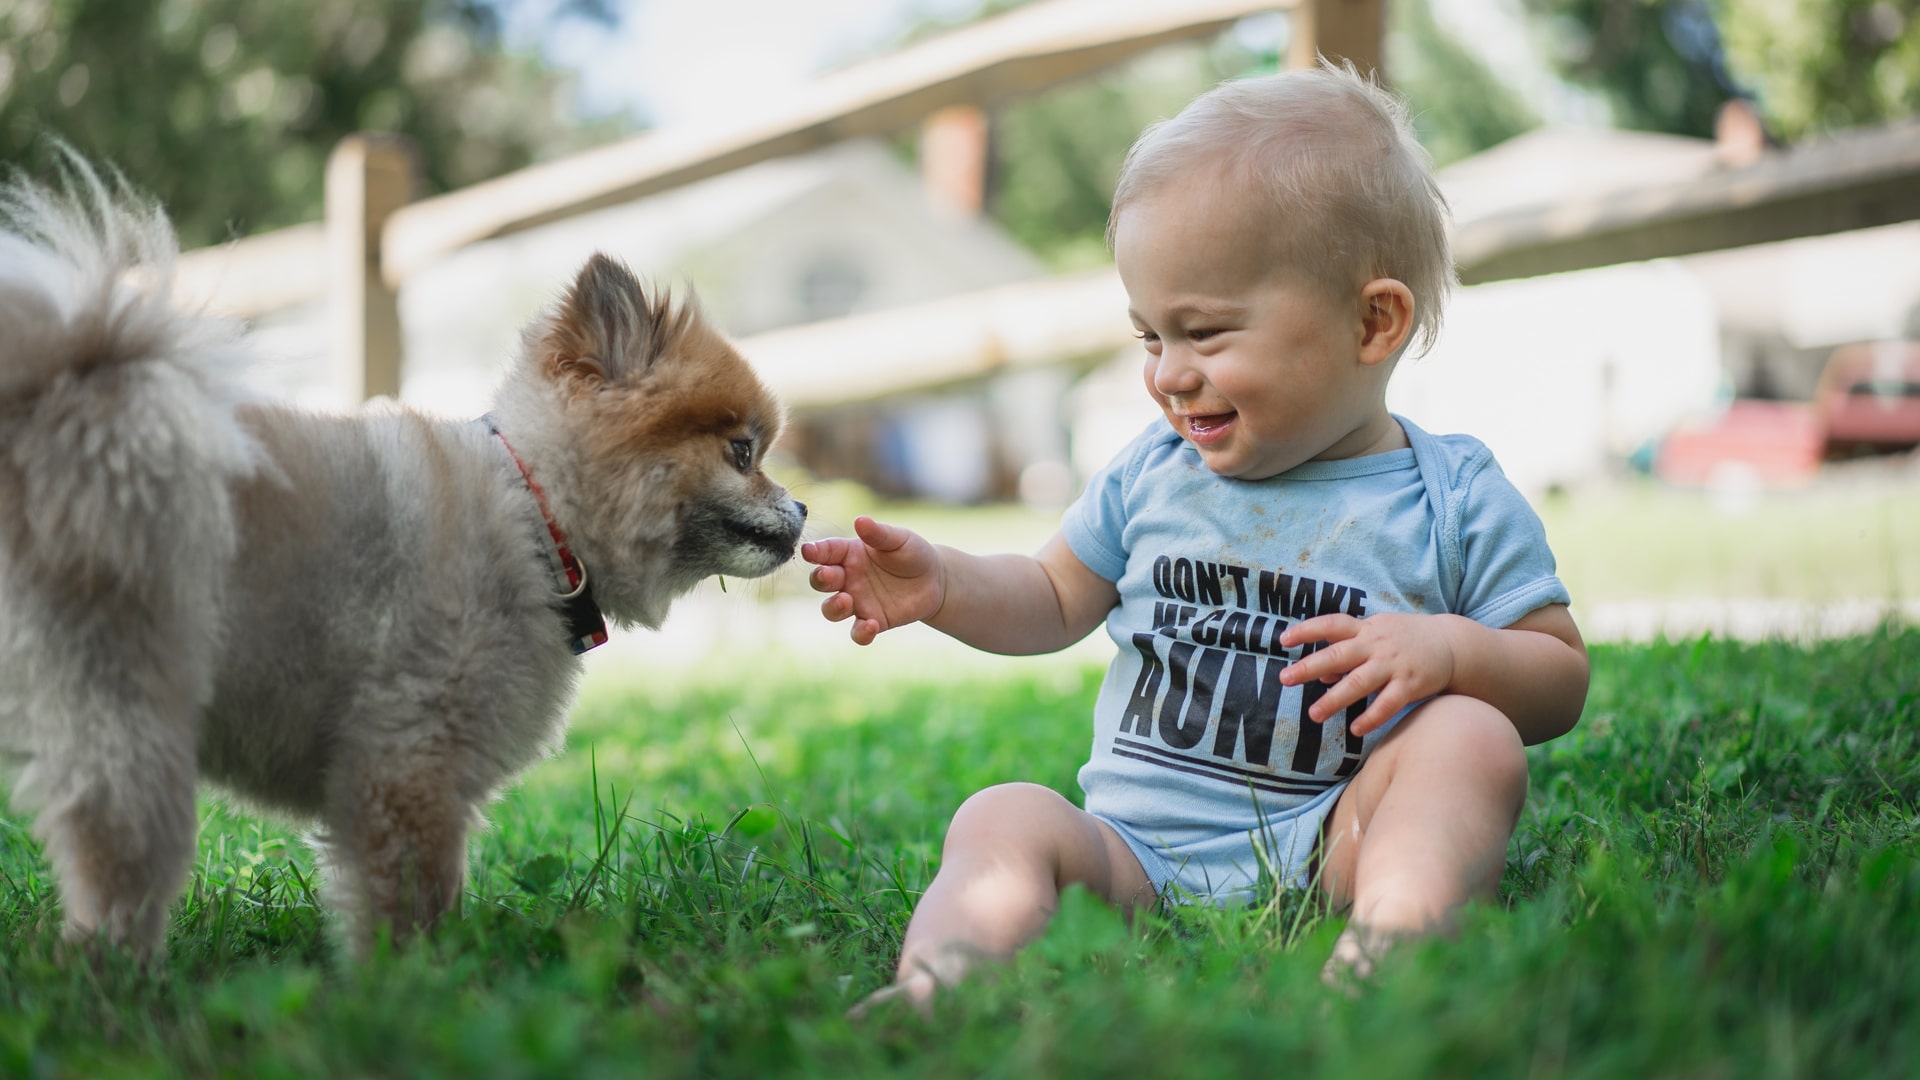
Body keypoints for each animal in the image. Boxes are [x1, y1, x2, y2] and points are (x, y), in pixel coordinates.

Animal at [0, 161, 806, 949]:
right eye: (742, 453)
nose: (802, 509)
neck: (536, 515)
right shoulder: (409, 757)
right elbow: (414, 897)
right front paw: (418, 977)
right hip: (130, 707)